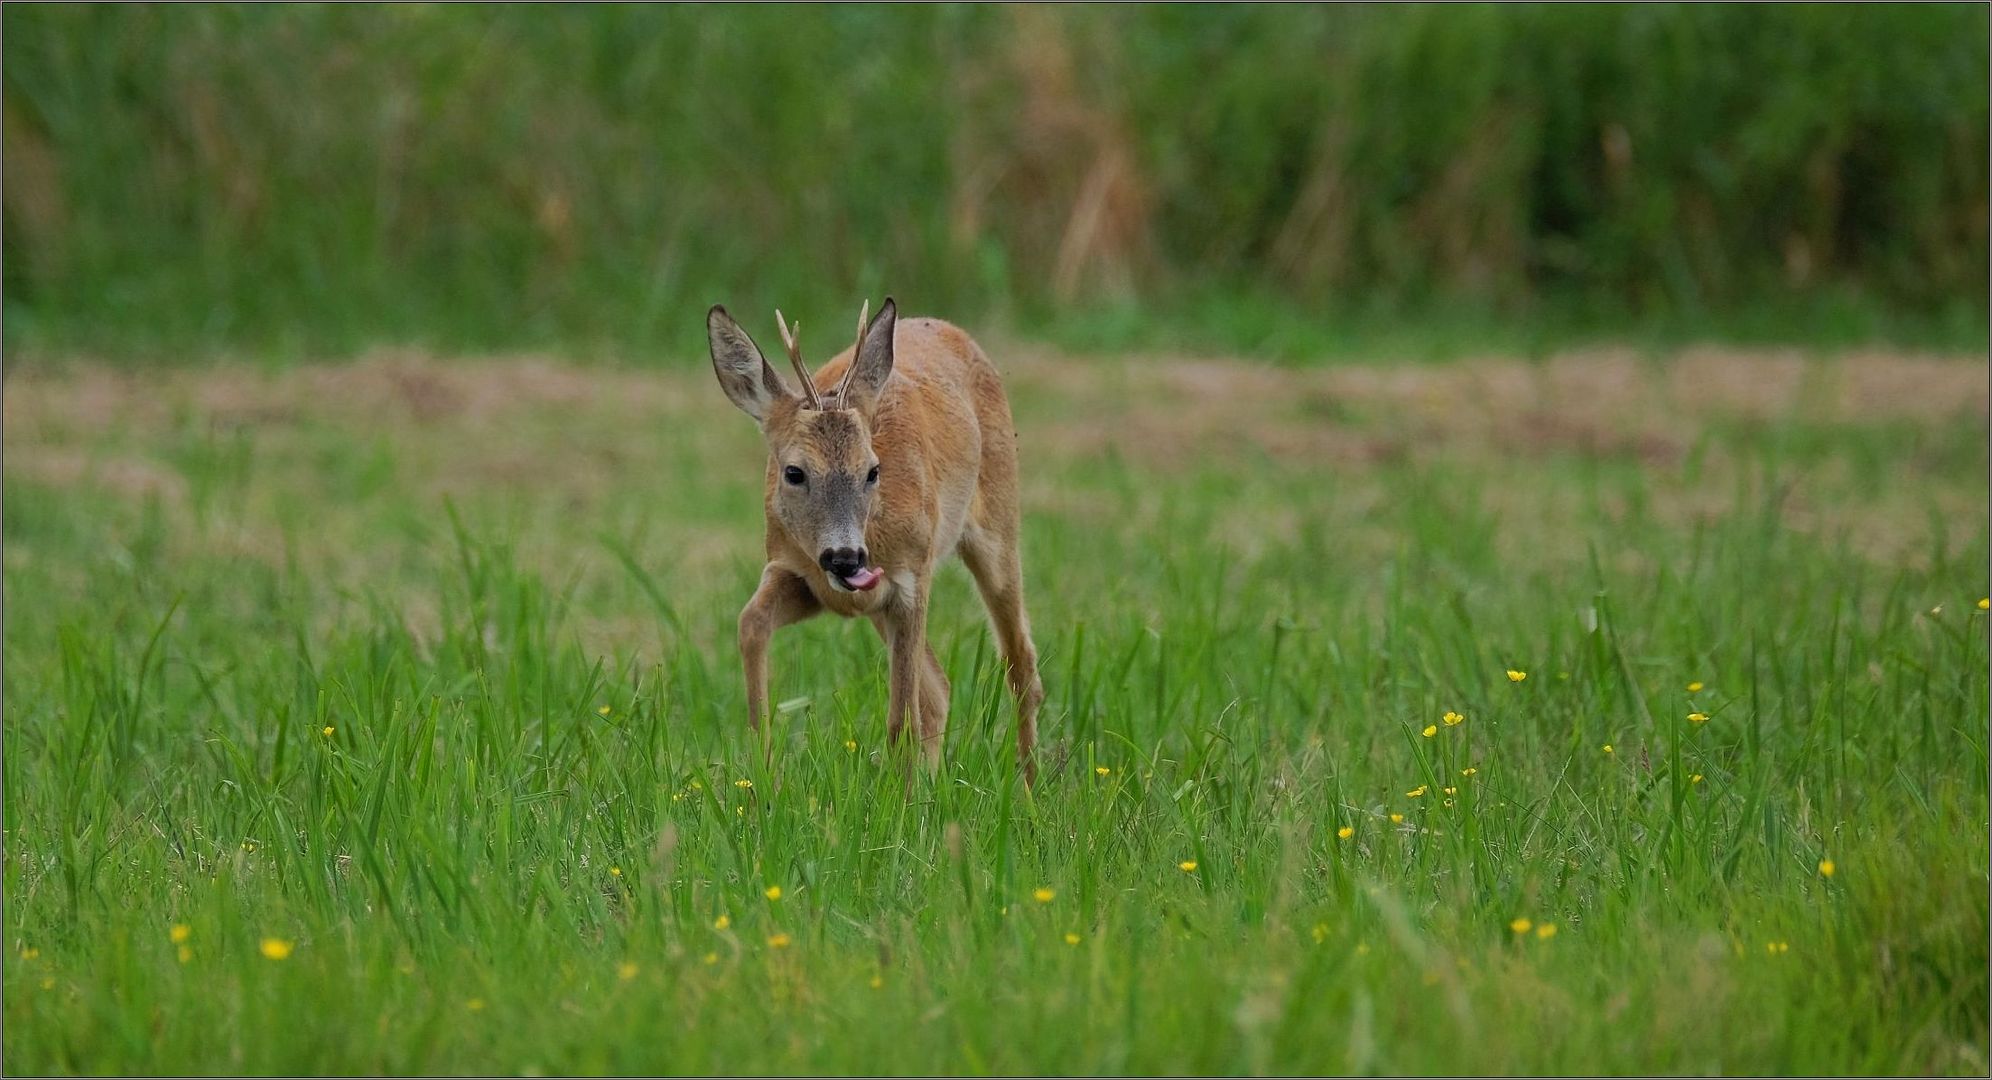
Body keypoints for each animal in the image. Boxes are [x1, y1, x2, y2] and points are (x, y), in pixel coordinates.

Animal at [705, 300, 1043, 785]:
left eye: (872, 470)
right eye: (794, 472)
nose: (846, 558)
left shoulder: (910, 582)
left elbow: (901, 720)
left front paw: (901, 805)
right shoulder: (800, 574)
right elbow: (750, 623)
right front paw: (761, 781)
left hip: (997, 523)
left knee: (1021, 664)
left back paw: (1030, 790)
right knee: (938, 690)